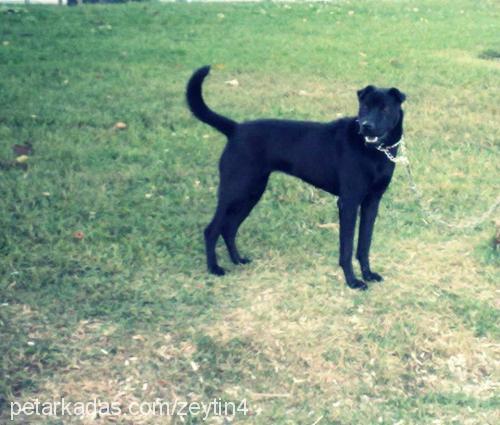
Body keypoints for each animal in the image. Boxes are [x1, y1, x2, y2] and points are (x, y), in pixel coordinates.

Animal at [186, 66, 404, 290]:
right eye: (365, 106)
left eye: (385, 109)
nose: (366, 126)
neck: (373, 152)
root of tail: (236, 129)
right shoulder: (348, 203)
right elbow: (347, 248)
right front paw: (352, 281)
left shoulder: (372, 203)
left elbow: (364, 244)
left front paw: (368, 274)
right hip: (234, 191)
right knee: (212, 230)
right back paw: (214, 268)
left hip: (250, 193)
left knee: (229, 228)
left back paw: (238, 260)